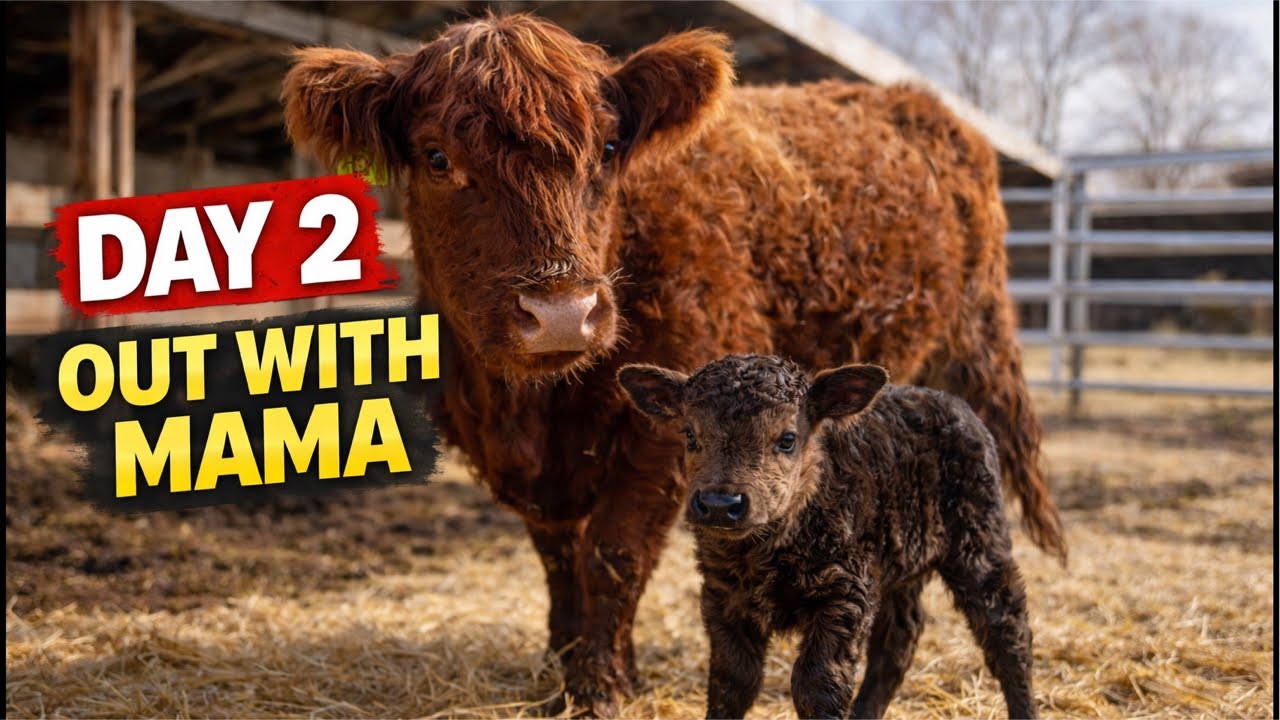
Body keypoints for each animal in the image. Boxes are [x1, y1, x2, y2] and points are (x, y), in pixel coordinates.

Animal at [618, 355, 1039, 719]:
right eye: (690, 435)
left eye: (787, 439)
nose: (721, 504)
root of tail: (946, 400)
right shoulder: (722, 595)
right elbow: (732, 681)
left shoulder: (845, 591)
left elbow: (817, 684)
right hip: (900, 559)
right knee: (898, 639)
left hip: (979, 536)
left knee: (1007, 630)